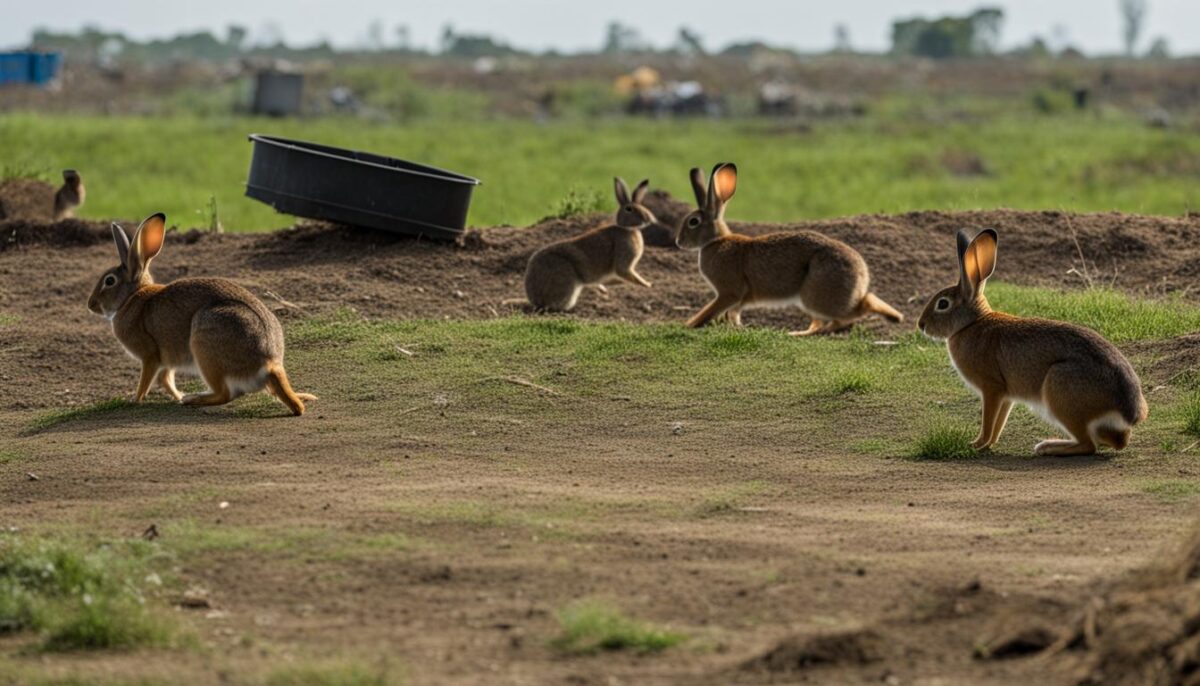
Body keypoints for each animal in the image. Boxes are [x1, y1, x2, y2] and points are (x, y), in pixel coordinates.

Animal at [87, 213, 316, 416]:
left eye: (109, 281)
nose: (91, 305)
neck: (131, 297)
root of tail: (269, 364)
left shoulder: (150, 355)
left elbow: (148, 380)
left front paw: (135, 400)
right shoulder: (167, 360)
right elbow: (166, 379)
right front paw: (177, 395)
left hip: (205, 344)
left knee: (224, 394)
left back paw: (193, 399)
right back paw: (304, 396)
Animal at [521, 177, 656, 311]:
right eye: (629, 209)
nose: (649, 219)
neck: (628, 229)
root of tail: (535, 299)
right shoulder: (624, 261)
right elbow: (628, 274)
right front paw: (647, 285)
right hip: (566, 279)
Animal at [676, 163, 902, 334]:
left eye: (693, 222)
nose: (678, 242)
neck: (715, 241)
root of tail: (862, 275)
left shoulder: (728, 292)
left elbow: (711, 310)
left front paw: (690, 324)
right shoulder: (738, 300)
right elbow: (733, 314)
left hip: (814, 295)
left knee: (849, 315)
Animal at [917, 228, 1147, 456]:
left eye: (943, 304)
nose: (921, 325)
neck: (971, 323)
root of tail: (1129, 412)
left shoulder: (991, 388)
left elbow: (988, 421)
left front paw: (975, 444)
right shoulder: (1006, 396)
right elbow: (998, 424)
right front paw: (988, 445)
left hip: (1059, 388)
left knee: (1088, 445)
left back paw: (1047, 447)